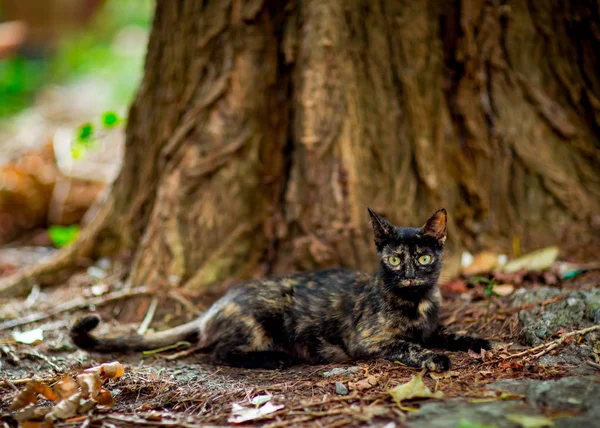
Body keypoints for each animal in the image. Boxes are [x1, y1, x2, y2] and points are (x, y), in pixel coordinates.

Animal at [72, 210, 490, 372]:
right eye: (394, 259)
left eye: (423, 258)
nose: (409, 275)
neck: (416, 303)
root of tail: (216, 304)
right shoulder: (371, 341)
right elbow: (409, 346)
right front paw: (434, 358)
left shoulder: (431, 326)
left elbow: (445, 332)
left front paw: (475, 339)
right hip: (262, 317)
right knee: (219, 352)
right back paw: (272, 358)